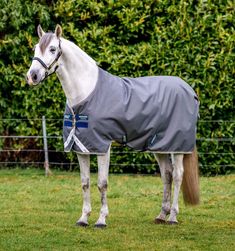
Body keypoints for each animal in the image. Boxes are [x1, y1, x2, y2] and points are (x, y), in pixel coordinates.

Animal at [26, 25, 199, 227]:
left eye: (53, 49)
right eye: (35, 48)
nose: (32, 76)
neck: (85, 92)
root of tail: (188, 89)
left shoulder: (102, 146)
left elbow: (102, 183)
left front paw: (101, 219)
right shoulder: (80, 147)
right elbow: (85, 182)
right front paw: (83, 218)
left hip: (177, 146)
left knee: (178, 175)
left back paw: (172, 217)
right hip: (160, 145)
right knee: (167, 174)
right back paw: (161, 215)